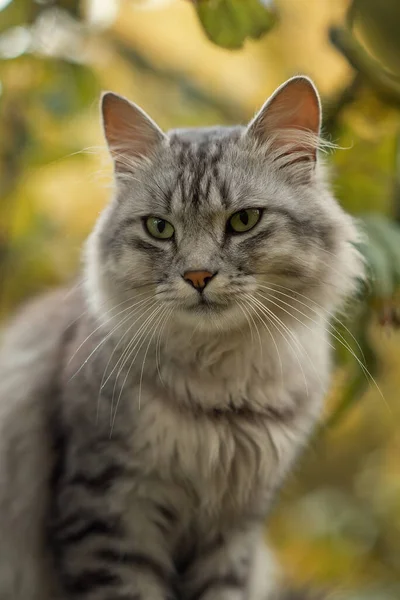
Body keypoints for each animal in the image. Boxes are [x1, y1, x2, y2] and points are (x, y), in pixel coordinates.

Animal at [0, 76, 364, 600]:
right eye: (159, 228)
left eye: (243, 221)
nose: (197, 276)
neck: (221, 396)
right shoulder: (110, 513)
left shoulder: (233, 532)